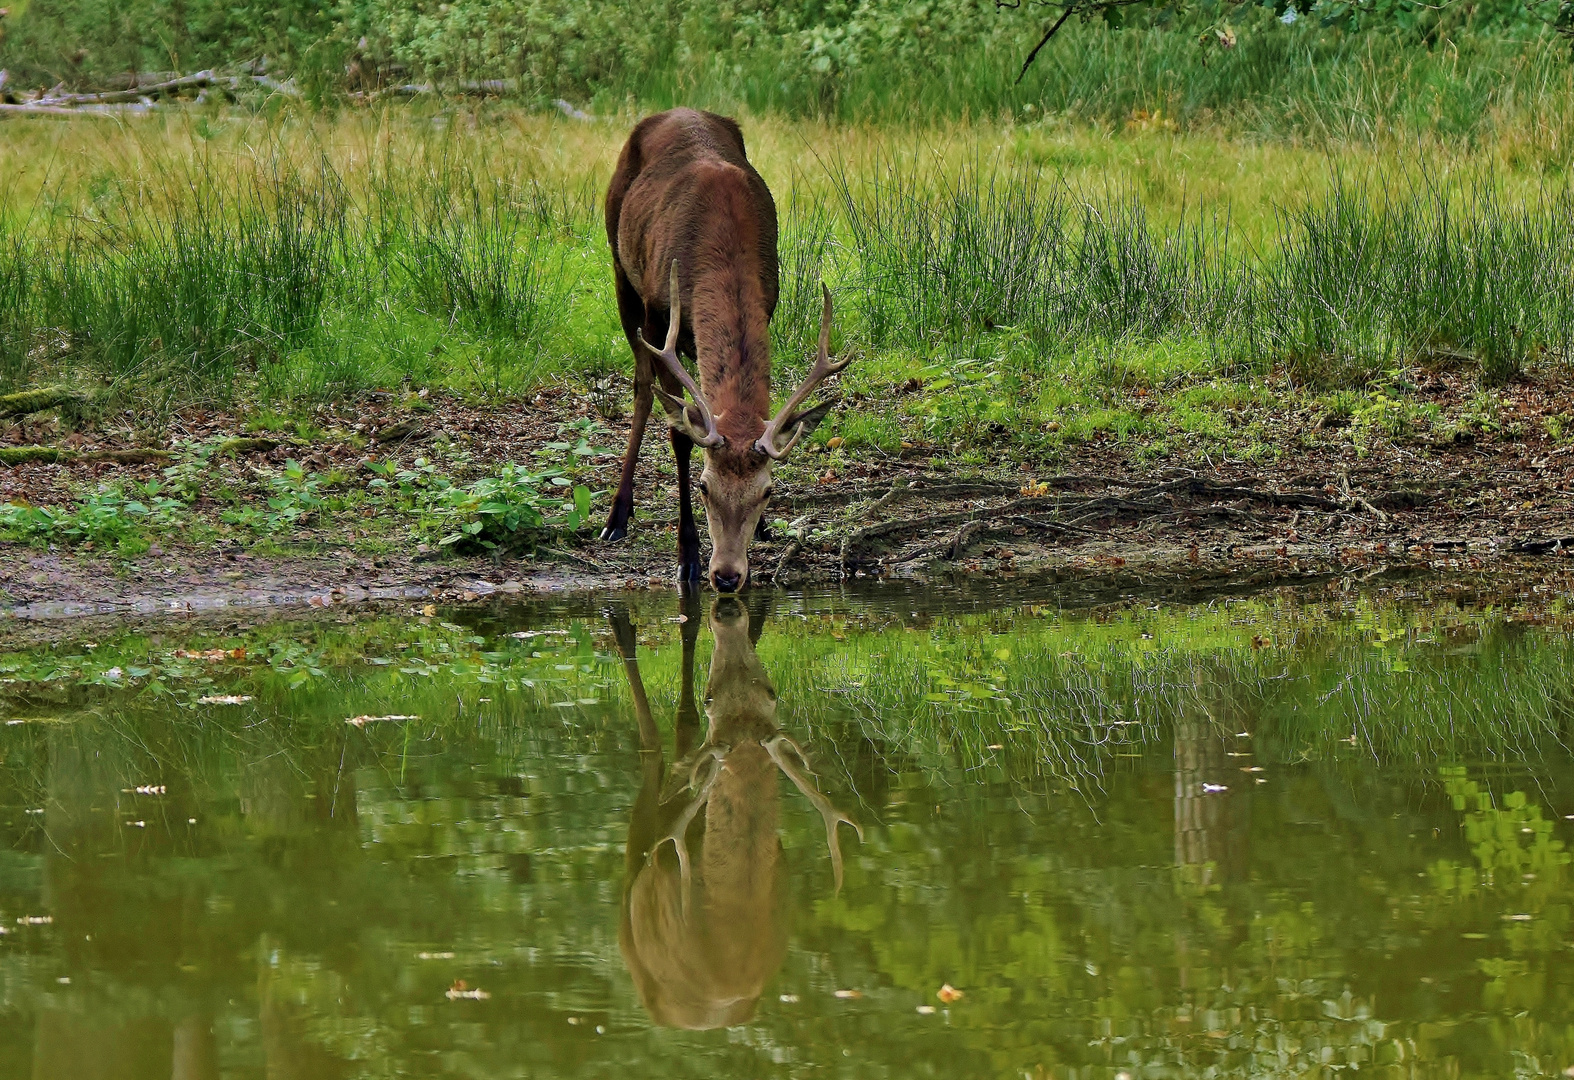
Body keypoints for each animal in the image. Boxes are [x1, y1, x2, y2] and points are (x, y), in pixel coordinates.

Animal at [598, 110, 849, 595]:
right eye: (703, 486)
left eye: (767, 491)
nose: (728, 575)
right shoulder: (657, 316)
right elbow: (678, 431)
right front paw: (687, 558)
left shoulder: (769, 302)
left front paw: (765, 528)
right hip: (620, 266)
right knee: (641, 388)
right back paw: (617, 514)